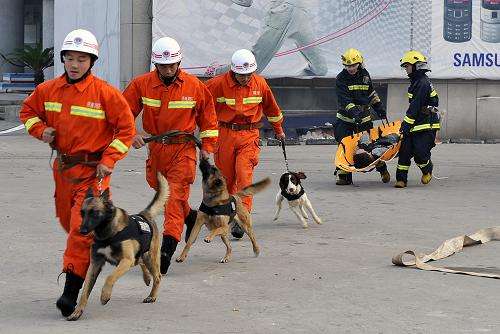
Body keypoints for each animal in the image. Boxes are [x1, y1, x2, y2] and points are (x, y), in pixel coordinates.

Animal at [66, 174, 169, 320]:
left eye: (95, 213)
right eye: (82, 213)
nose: (82, 231)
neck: (107, 234)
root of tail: (144, 214)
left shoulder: (125, 260)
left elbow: (110, 277)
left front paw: (105, 296)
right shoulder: (95, 265)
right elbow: (85, 291)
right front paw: (77, 312)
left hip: (150, 257)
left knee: (157, 276)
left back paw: (152, 296)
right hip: (140, 257)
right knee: (140, 262)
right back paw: (147, 278)